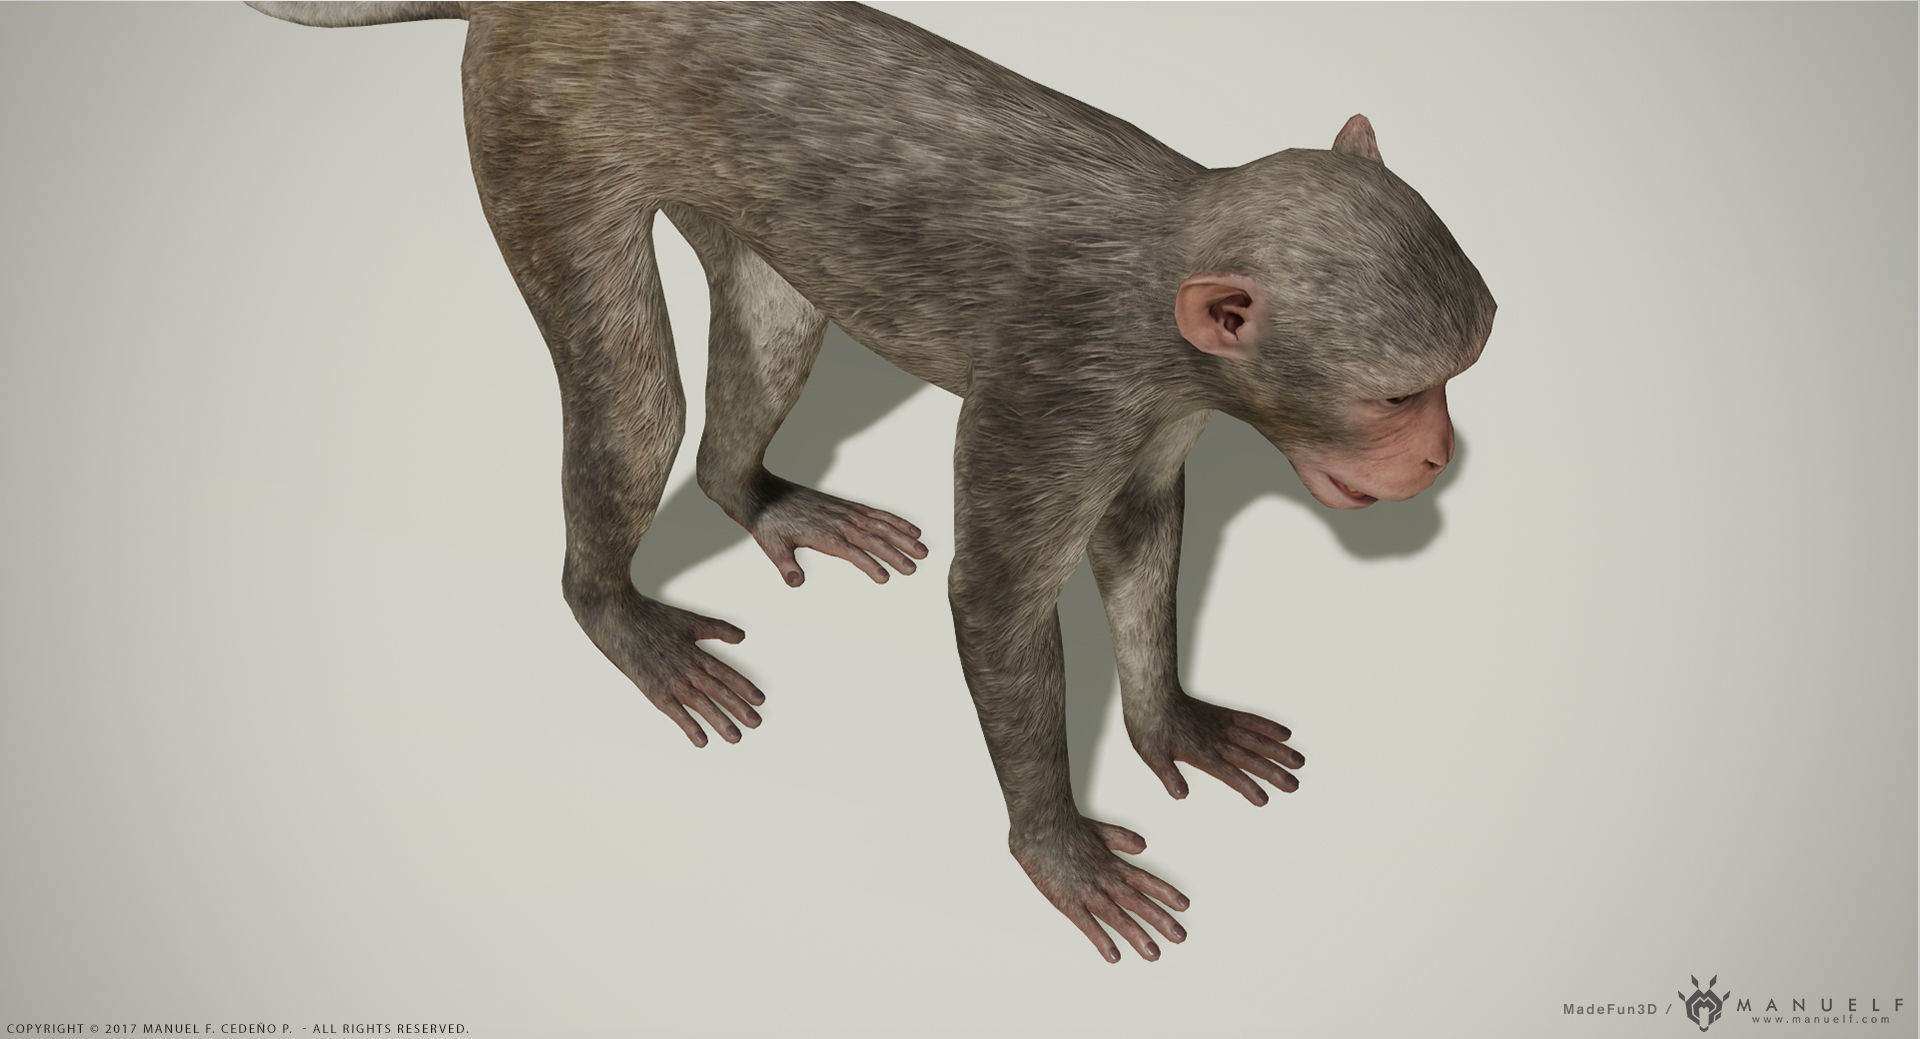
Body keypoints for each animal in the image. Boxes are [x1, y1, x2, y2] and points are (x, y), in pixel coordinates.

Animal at [244, 1, 1497, 963]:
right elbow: (996, 600)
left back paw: (753, 491)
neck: (1165, 300)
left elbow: (1140, 538)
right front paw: (1058, 848)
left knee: (773, 318)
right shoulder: (1063, 395)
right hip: (535, 119)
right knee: (636, 404)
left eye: (1456, 372)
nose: (1441, 454)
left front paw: (1168, 721)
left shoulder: (1157, 415)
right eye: (1400, 395)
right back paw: (616, 613)